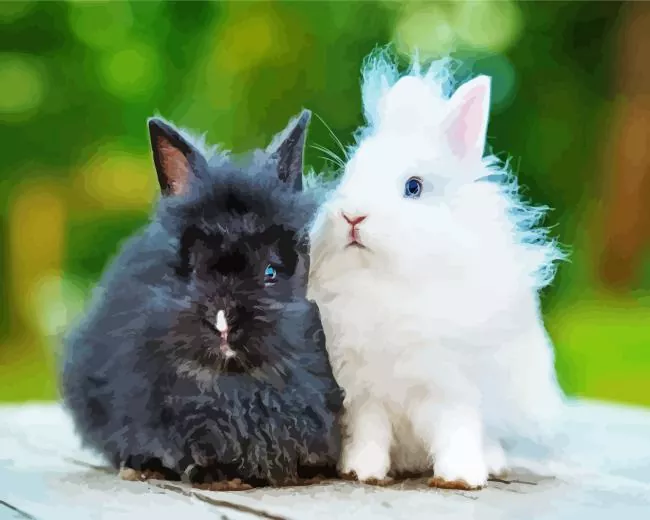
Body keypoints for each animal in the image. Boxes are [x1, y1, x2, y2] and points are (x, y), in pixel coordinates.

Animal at [306, 50, 568, 490]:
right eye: (346, 176)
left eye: (413, 187)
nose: (352, 216)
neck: (386, 284)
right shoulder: (363, 393)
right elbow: (369, 434)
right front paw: (361, 472)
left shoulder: (453, 388)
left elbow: (457, 430)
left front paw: (460, 479)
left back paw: (493, 464)